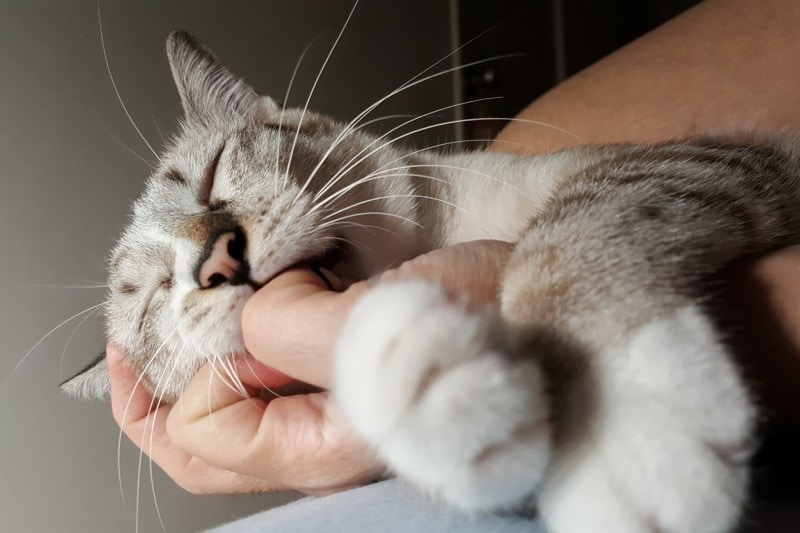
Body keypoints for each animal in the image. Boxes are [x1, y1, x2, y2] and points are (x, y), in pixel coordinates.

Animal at [62, 31, 800, 528]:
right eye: (159, 294)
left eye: (213, 175)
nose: (219, 259)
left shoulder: (694, 162)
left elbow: (564, 239)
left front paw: (628, 443)